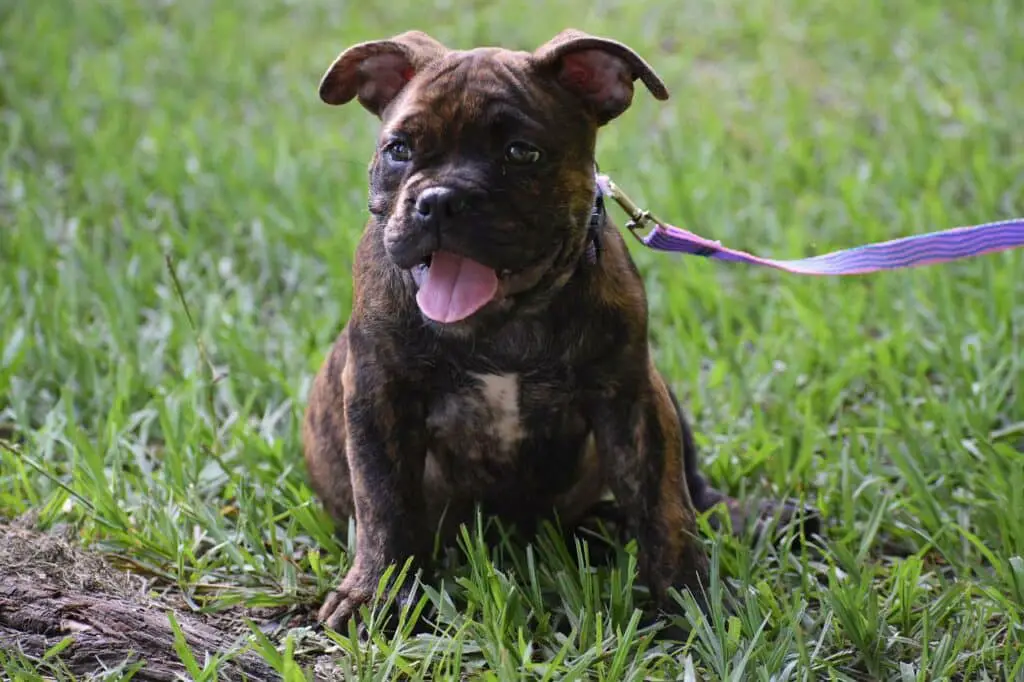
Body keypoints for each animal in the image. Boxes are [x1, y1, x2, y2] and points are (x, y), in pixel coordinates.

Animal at [299, 30, 819, 626]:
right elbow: (384, 500)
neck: (506, 321)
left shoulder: (631, 397)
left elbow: (666, 504)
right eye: (399, 150)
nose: (439, 200)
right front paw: (376, 593)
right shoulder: (378, 393)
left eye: (521, 153)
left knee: (694, 489)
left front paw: (691, 600)